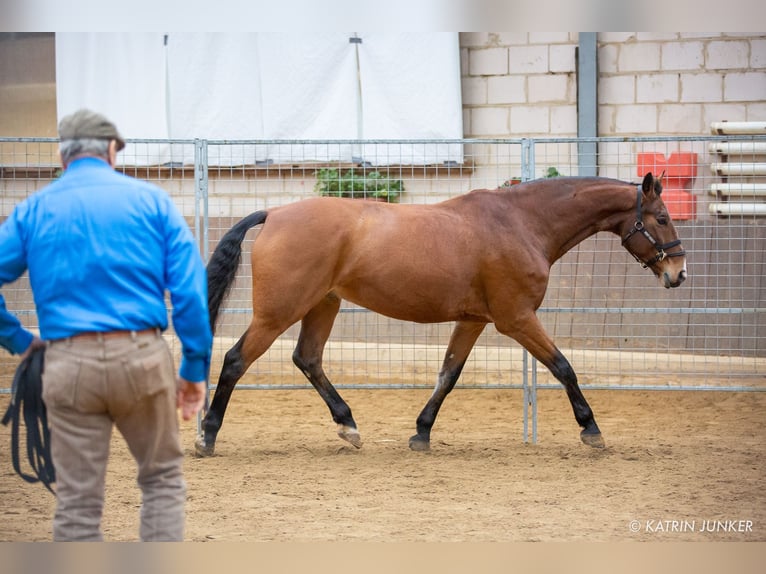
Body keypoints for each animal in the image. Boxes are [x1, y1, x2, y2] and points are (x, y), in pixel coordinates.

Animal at [195, 172, 688, 460]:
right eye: (662, 218)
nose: (678, 273)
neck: (521, 223)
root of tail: (275, 213)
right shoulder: (516, 318)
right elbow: (563, 366)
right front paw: (591, 430)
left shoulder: (474, 320)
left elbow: (448, 375)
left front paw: (421, 433)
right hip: (279, 311)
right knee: (236, 360)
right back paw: (207, 436)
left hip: (323, 304)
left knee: (308, 359)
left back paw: (349, 426)